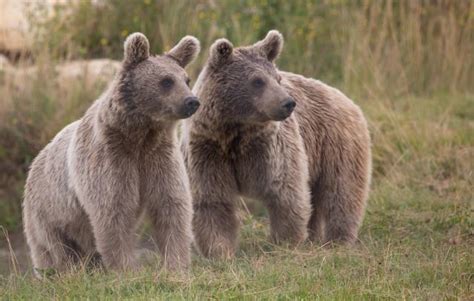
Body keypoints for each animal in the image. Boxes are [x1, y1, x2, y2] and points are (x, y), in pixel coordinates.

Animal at [23, 31, 201, 274]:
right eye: (166, 81)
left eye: (186, 79)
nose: (192, 101)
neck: (139, 135)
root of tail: (35, 162)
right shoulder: (110, 159)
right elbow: (113, 211)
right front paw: (126, 269)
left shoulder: (159, 157)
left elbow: (171, 206)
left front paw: (176, 265)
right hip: (47, 212)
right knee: (55, 250)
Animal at [181, 29, 370, 256]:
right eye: (257, 81)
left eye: (277, 78)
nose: (288, 103)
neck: (236, 131)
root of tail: (347, 100)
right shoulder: (208, 150)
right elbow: (212, 200)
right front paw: (220, 250)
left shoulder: (270, 148)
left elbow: (285, 192)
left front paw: (285, 242)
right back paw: (315, 237)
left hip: (336, 145)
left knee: (342, 193)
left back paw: (338, 241)